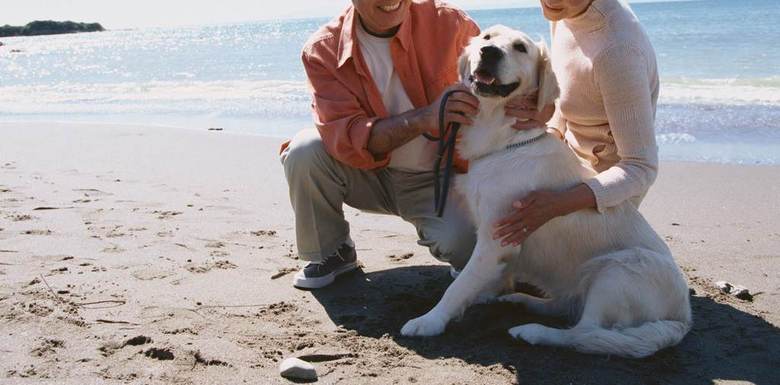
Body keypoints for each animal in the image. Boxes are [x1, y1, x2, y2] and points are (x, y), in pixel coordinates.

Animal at [400, 25, 692, 358]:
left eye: (520, 48)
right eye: (487, 37)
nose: (489, 52)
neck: (505, 140)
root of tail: (683, 317)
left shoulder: (497, 237)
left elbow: (458, 287)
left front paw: (429, 320)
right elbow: (479, 277)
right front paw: (486, 292)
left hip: (617, 272)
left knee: (583, 333)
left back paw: (533, 331)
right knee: (564, 307)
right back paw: (523, 301)